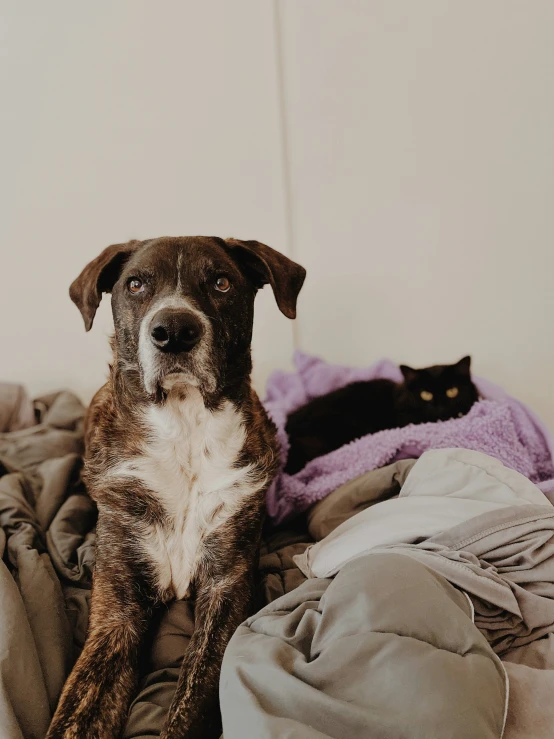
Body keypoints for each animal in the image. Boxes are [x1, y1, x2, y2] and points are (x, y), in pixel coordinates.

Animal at [47, 237, 304, 739]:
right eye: (135, 284)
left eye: (221, 282)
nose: (173, 331)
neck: (184, 427)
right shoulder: (117, 611)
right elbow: (76, 714)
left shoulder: (226, 590)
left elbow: (193, 694)